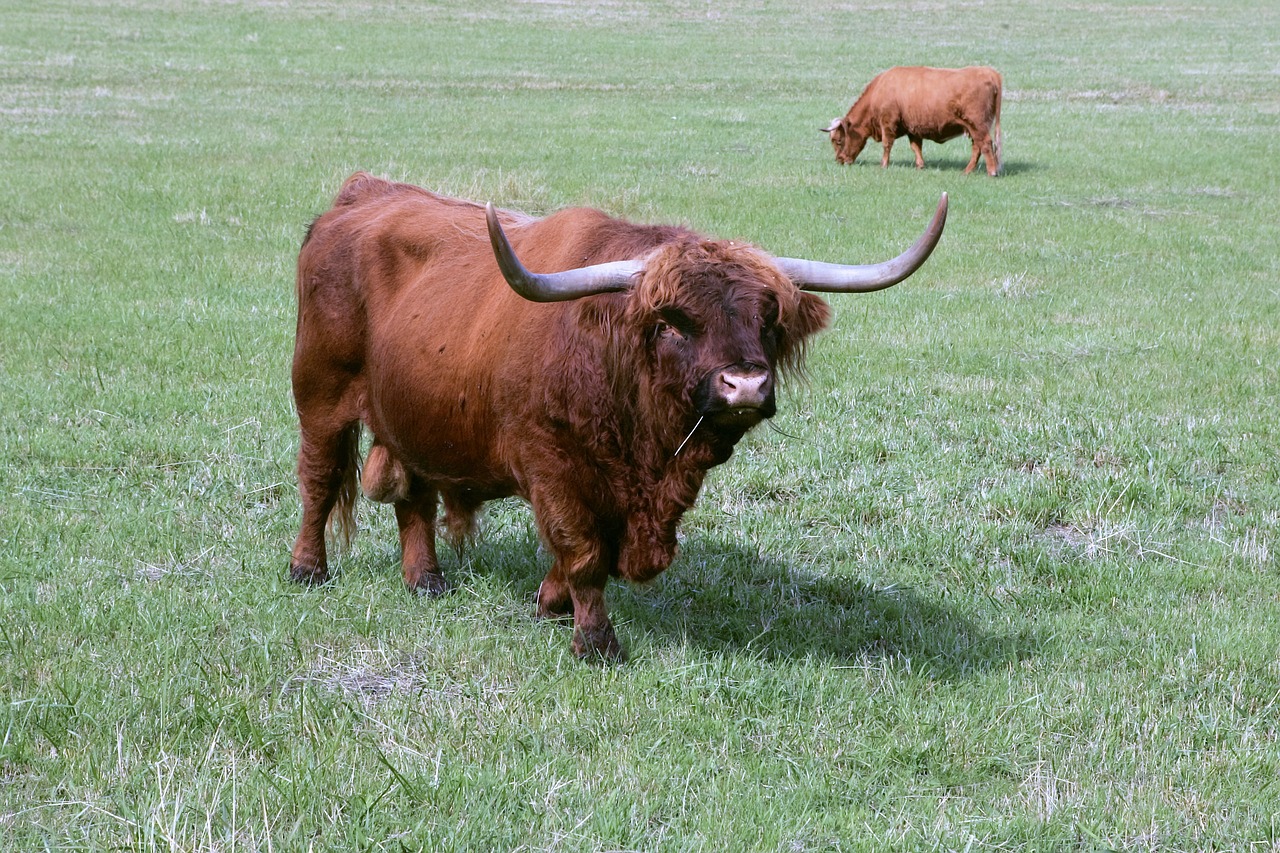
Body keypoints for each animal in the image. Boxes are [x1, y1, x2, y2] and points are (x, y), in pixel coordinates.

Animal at [293, 171, 952, 655]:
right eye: (671, 324)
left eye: (767, 319)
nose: (744, 384)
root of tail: (359, 197)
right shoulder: (552, 466)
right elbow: (584, 551)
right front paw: (594, 639)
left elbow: (598, 556)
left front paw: (551, 603)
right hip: (320, 396)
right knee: (320, 482)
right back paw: (308, 569)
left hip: (413, 415)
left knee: (414, 496)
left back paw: (427, 580)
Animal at [824, 65, 1003, 175]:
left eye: (838, 140)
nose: (839, 160)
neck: (878, 91)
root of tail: (988, 71)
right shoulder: (913, 128)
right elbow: (916, 147)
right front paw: (920, 165)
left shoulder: (887, 123)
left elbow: (887, 144)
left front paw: (884, 165)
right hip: (973, 128)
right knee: (977, 147)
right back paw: (967, 171)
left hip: (977, 125)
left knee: (985, 144)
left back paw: (992, 172)